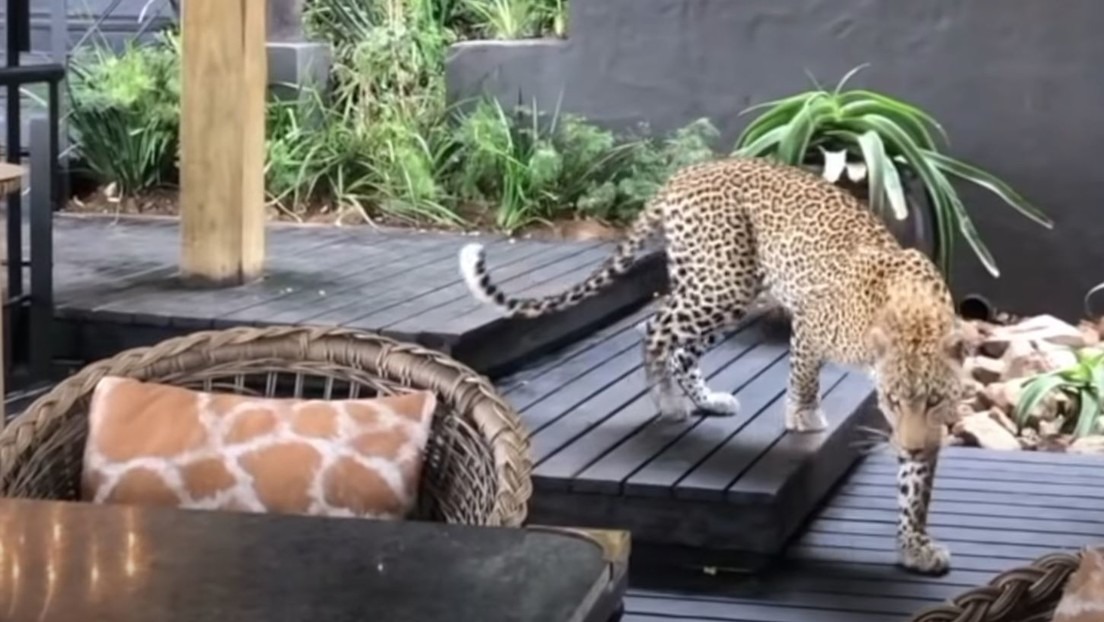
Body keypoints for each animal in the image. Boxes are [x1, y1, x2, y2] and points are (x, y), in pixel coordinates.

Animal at [457, 156, 967, 578]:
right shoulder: (809, 324)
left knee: (681, 349)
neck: (915, 318)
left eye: (935, 401)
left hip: (724, 287)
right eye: (893, 400)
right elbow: (804, 375)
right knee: (653, 328)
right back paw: (667, 402)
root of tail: (689, 171)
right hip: (723, 284)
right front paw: (803, 416)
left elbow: (917, 487)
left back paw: (705, 401)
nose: (911, 444)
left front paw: (915, 546)